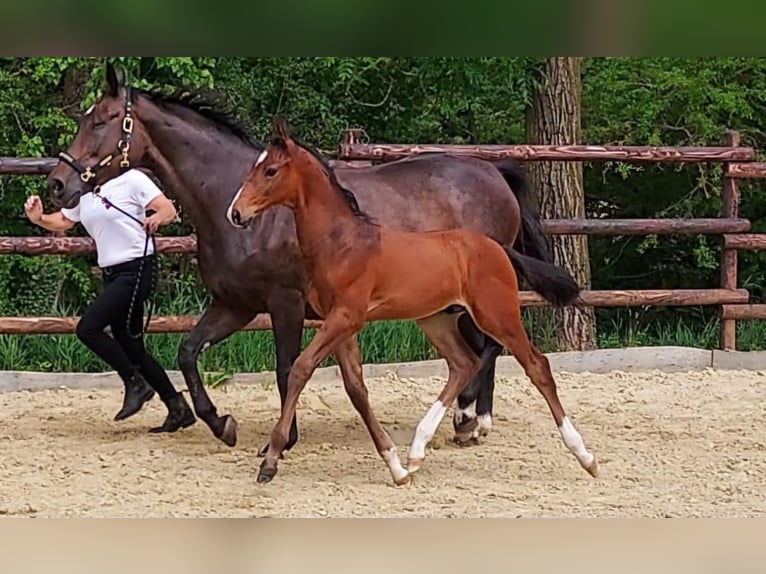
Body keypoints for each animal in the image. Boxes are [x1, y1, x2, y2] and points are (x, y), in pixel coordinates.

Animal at [46, 63, 577, 458]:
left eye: (100, 120)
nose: (56, 185)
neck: (237, 201)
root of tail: (494, 172)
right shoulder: (235, 304)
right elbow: (188, 352)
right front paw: (221, 423)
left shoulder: (284, 303)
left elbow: (286, 367)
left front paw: (281, 440)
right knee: (483, 349)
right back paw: (469, 421)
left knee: (489, 348)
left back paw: (469, 420)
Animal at [227, 118, 597, 485]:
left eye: (271, 170)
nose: (236, 213)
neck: (343, 243)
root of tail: (499, 248)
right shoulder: (339, 323)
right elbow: (356, 387)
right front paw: (395, 466)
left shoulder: (346, 317)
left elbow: (301, 369)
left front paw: (271, 460)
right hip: (436, 319)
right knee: (463, 363)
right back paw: (418, 450)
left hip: (496, 314)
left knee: (536, 365)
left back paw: (585, 456)